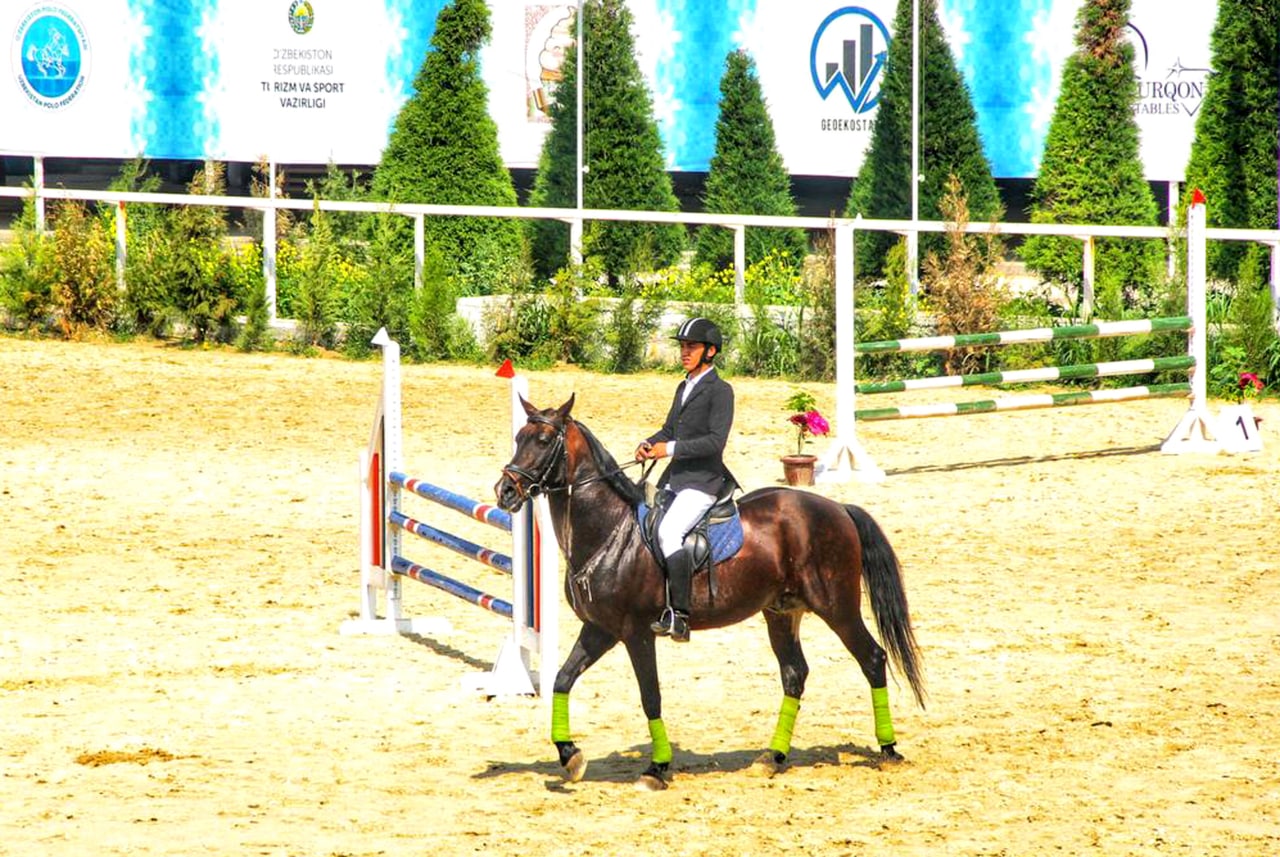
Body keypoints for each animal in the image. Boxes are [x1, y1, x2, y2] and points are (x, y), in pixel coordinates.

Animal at [494, 395, 925, 790]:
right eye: (519, 437)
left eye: (544, 440)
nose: (505, 491)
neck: (610, 531)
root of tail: (838, 509)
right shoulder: (599, 629)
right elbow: (562, 679)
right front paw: (570, 756)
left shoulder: (636, 632)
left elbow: (650, 696)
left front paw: (657, 768)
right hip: (781, 612)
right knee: (794, 675)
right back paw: (773, 757)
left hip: (837, 608)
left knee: (872, 659)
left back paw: (888, 749)